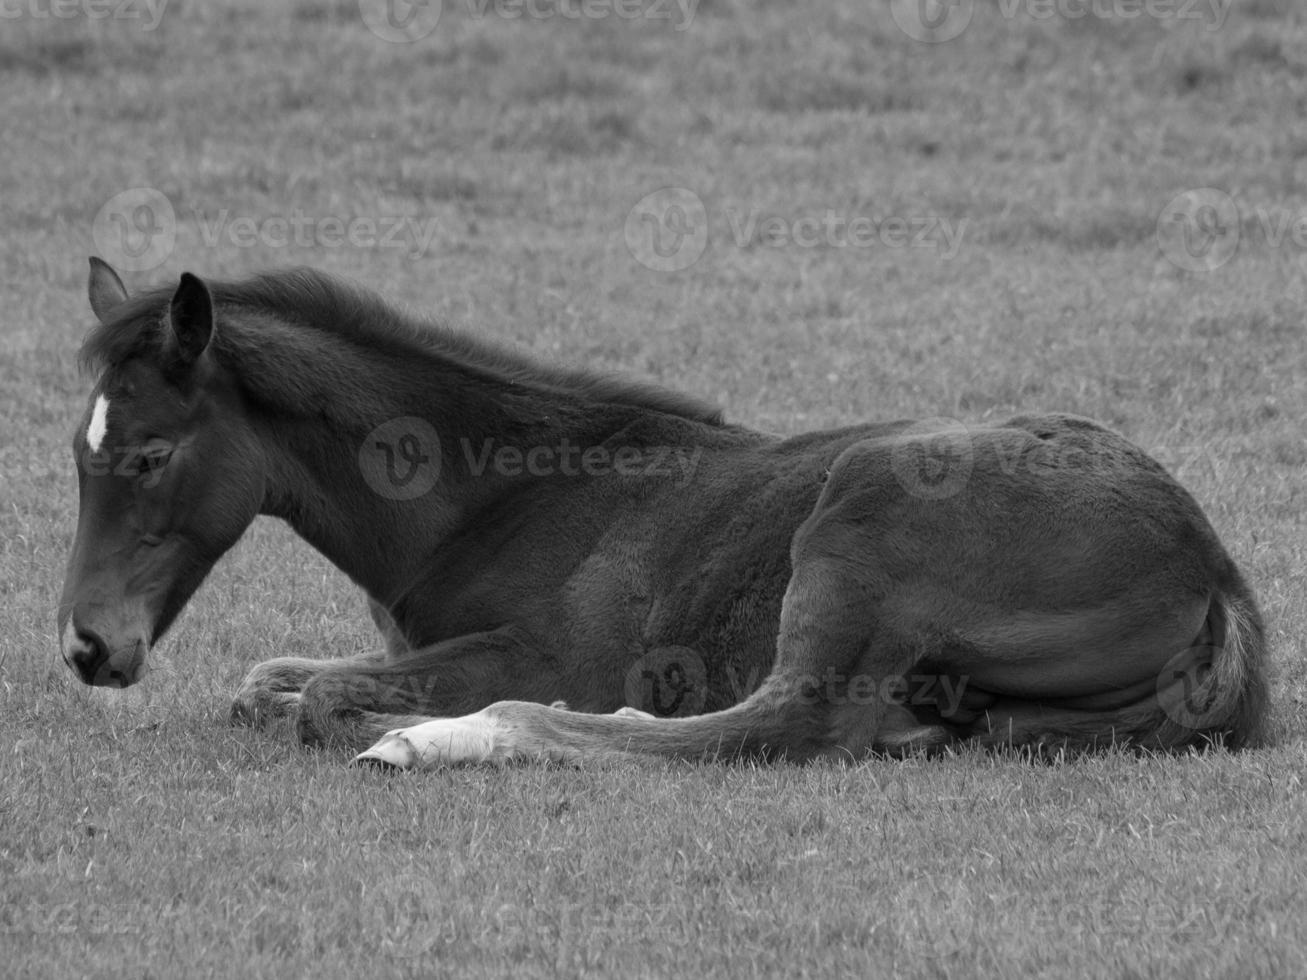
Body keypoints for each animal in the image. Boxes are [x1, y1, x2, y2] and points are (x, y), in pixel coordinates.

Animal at [58, 257, 1265, 773]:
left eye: (151, 454)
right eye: (76, 451)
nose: (85, 646)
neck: (500, 498)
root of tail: (1214, 574)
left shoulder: (543, 651)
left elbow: (319, 700)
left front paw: (392, 722)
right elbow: (265, 682)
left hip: (859, 517)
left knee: (778, 727)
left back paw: (456, 736)